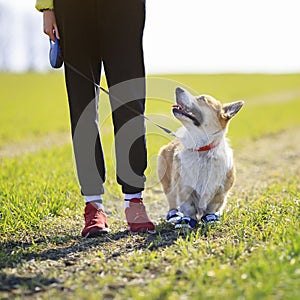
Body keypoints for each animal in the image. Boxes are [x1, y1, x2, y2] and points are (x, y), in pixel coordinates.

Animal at [157, 88, 244, 229]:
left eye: (202, 99)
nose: (178, 88)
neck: (202, 149)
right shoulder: (184, 189)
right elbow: (189, 208)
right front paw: (187, 221)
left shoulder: (219, 192)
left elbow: (211, 208)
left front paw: (210, 218)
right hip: (167, 183)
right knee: (172, 200)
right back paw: (174, 215)